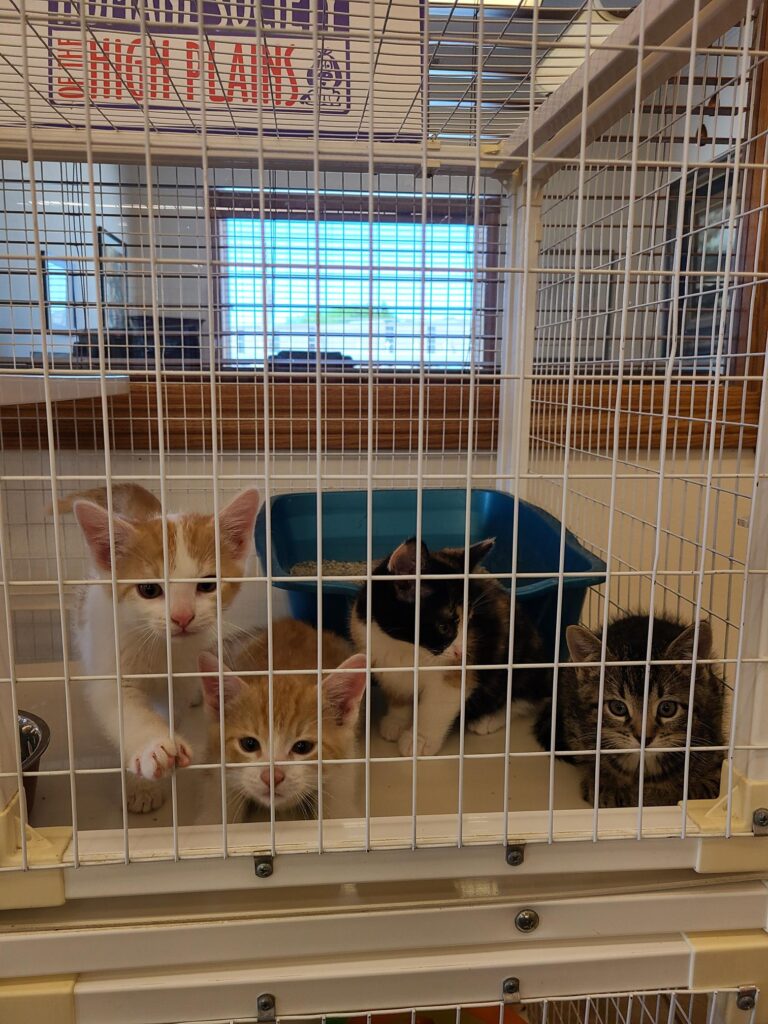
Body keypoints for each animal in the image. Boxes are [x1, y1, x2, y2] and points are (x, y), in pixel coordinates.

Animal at [61, 483, 260, 811]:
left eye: (208, 585)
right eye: (149, 589)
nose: (182, 617)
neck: (158, 649)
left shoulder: (180, 673)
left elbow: (172, 708)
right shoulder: (111, 669)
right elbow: (127, 713)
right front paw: (151, 757)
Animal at [348, 540, 552, 757]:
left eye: (469, 621)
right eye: (443, 627)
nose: (462, 652)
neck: (405, 647)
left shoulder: (457, 672)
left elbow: (436, 706)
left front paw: (419, 740)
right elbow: (399, 690)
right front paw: (397, 720)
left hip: (522, 662)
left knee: (528, 698)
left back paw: (489, 718)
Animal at [536, 610, 729, 802]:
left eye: (667, 708)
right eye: (618, 708)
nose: (644, 738)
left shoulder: (713, 717)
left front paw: (699, 784)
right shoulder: (577, 726)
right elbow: (591, 757)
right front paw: (608, 784)